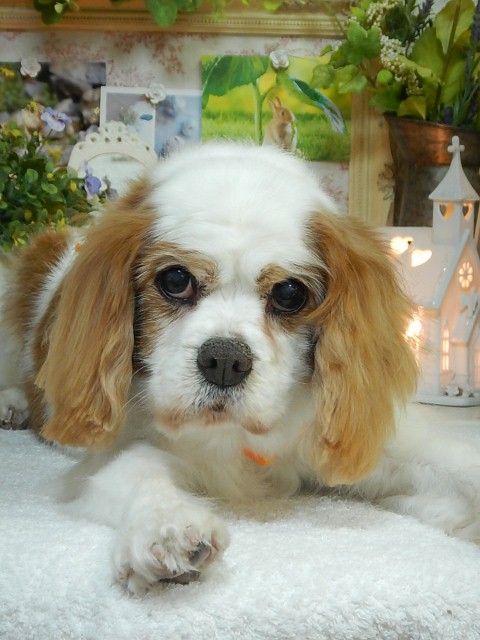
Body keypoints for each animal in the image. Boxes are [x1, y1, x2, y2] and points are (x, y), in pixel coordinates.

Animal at [1, 142, 480, 595]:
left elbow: (453, 467)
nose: (226, 360)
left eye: (289, 293)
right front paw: (166, 527)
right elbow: (135, 470)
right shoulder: (112, 450)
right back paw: (13, 403)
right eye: (175, 280)